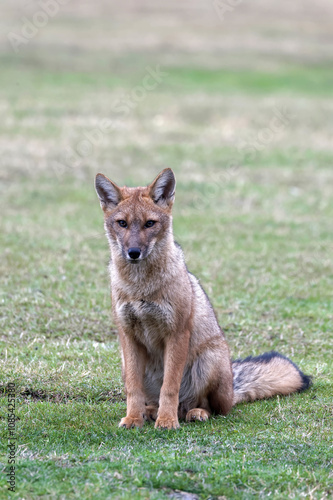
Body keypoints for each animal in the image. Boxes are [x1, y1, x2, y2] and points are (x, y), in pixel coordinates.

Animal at [94, 169, 310, 430]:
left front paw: (167, 422)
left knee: (212, 408)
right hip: (126, 365)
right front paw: (134, 418)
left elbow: (170, 387)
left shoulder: (177, 333)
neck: (140, 288)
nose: (133, 253)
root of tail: (232, 390)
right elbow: (133, 389)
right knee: (154, 399)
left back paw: (192, 413)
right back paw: (150, 412)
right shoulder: (128, 335)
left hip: (208, 362)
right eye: (122, 223)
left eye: (149, 224)